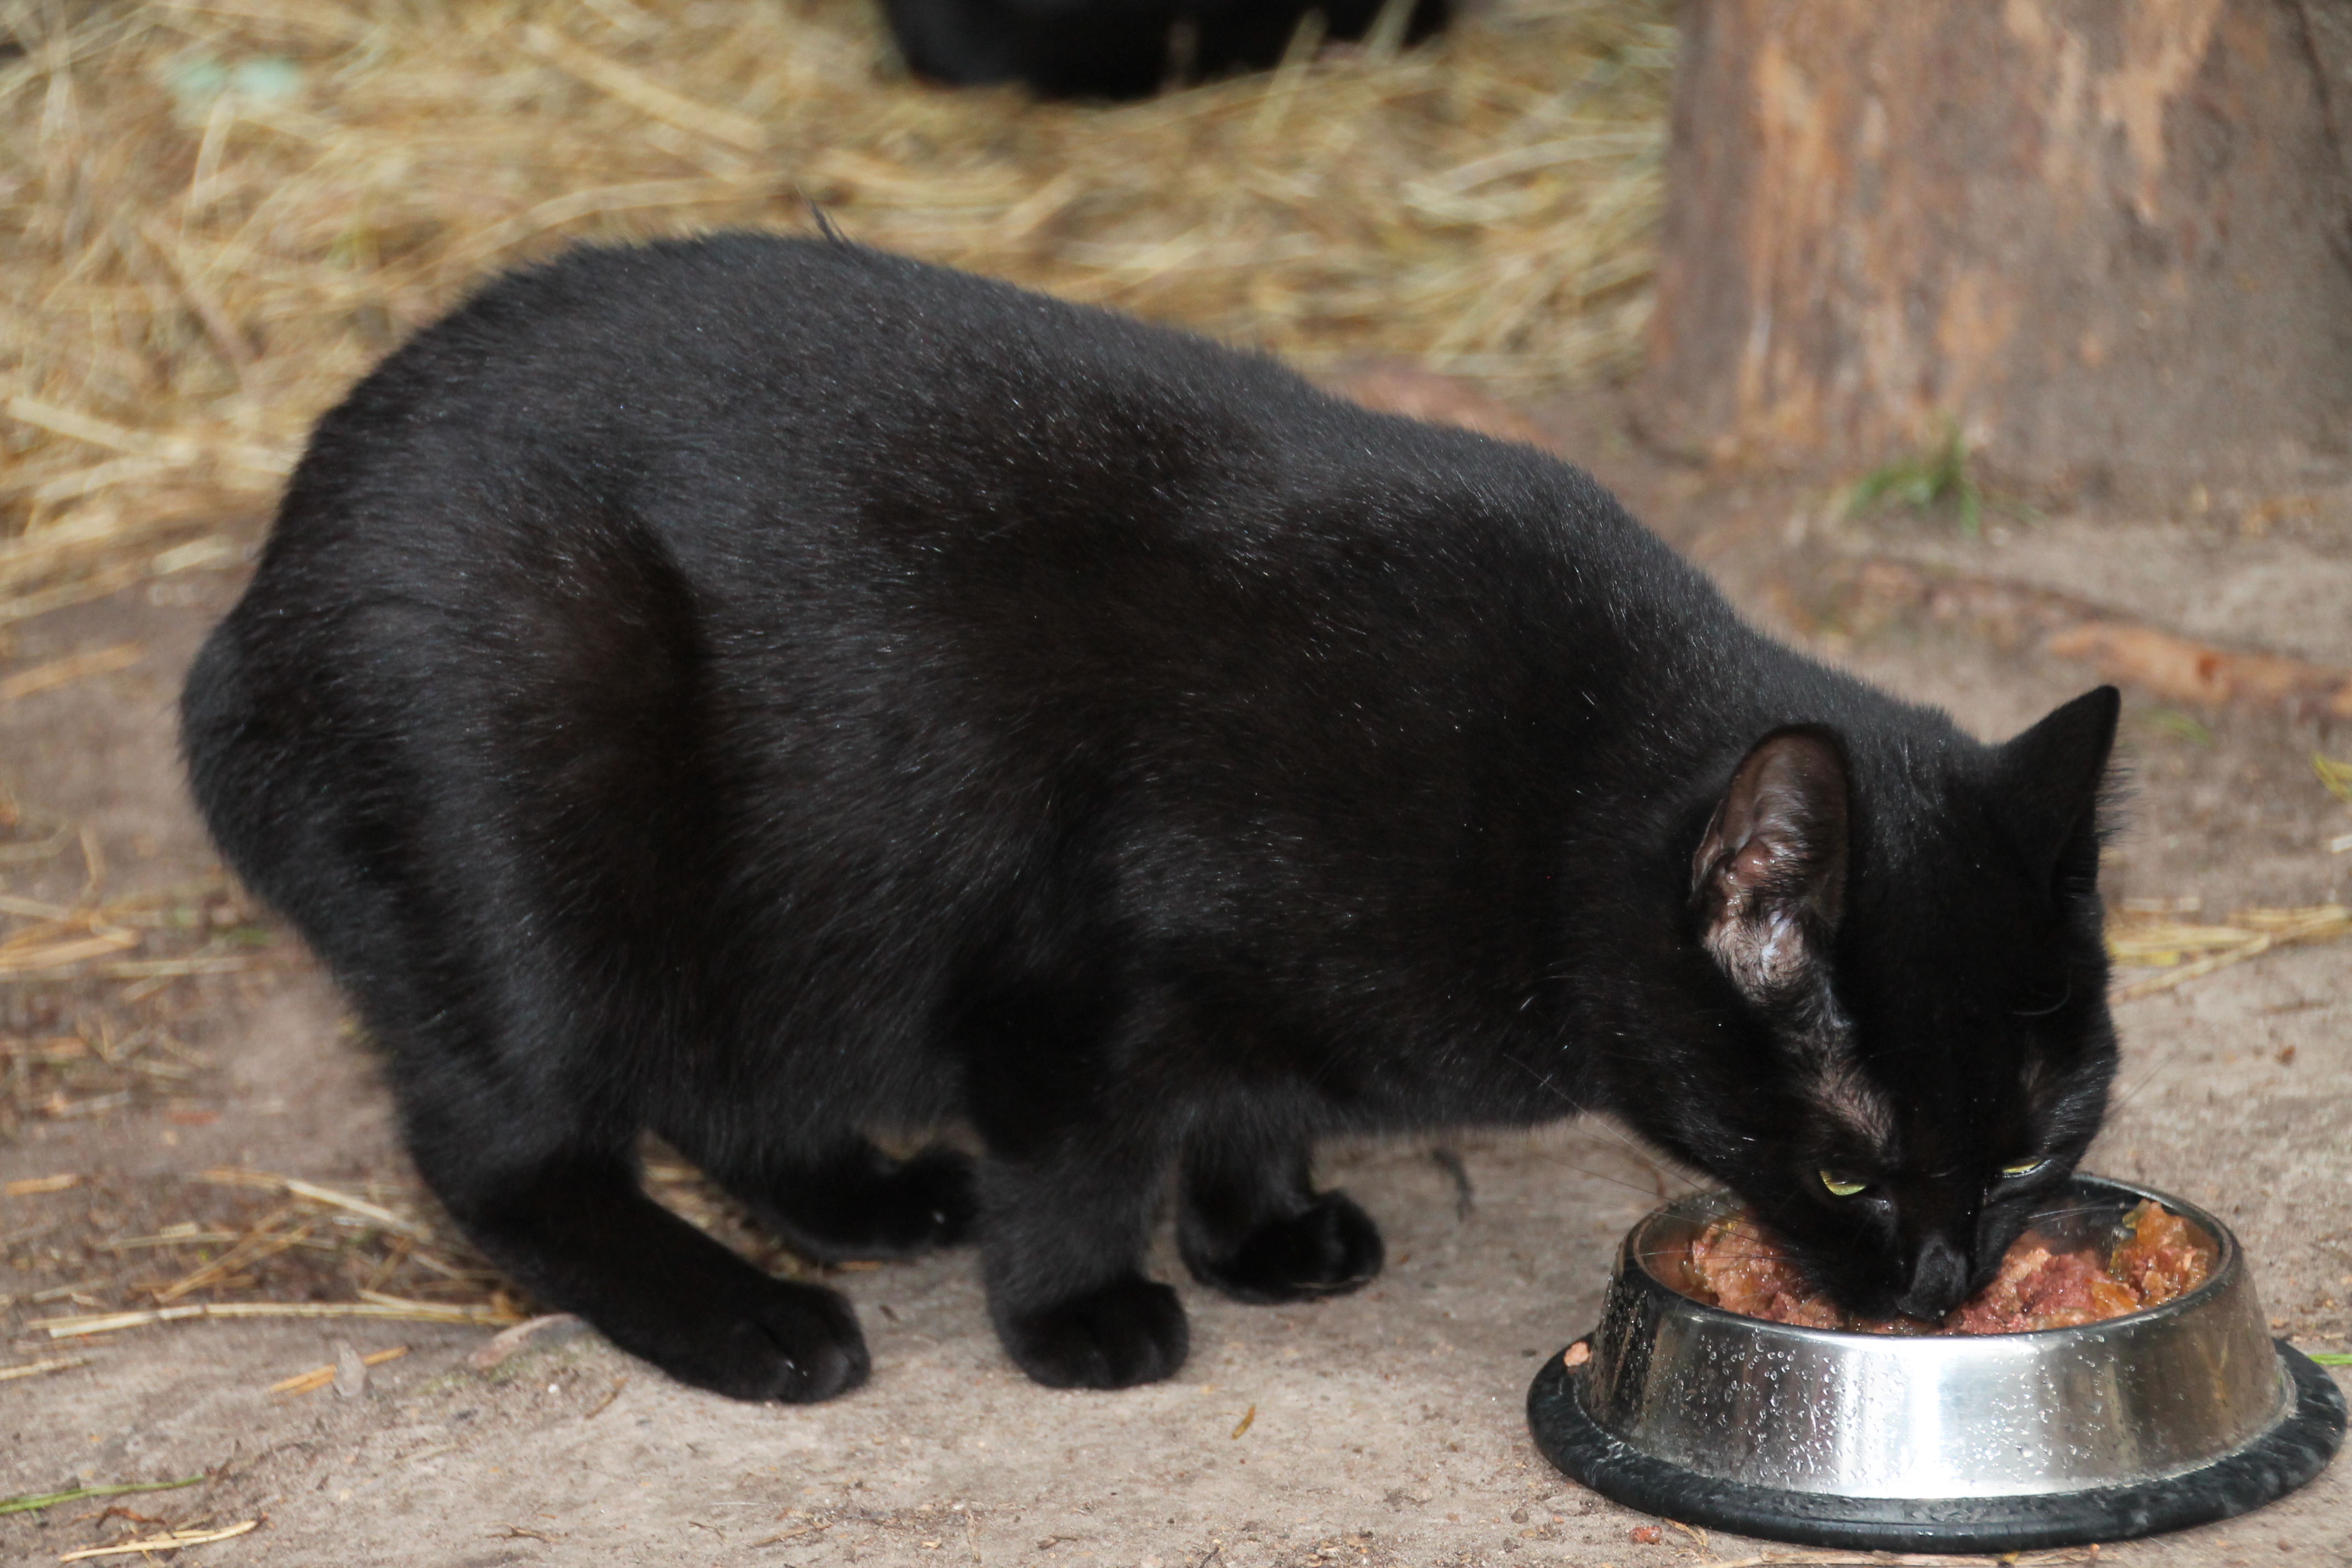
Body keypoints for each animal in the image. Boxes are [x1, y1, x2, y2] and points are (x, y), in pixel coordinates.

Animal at [181, 234, 2122, 1402]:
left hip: (777, 917)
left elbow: (1252, 1103)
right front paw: (1079, 1315)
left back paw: (870, 1197)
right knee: (510, 1158)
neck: (1551, 788)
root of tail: (255, 601)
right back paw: (752, 1318)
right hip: (543, 787)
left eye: (2036, 1148)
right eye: (1849, 1164)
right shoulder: (1068, 983)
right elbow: (1081, 1157)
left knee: (722, 1077)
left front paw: (1264, 1233)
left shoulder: (1249, 1013)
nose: (1942, 1282)